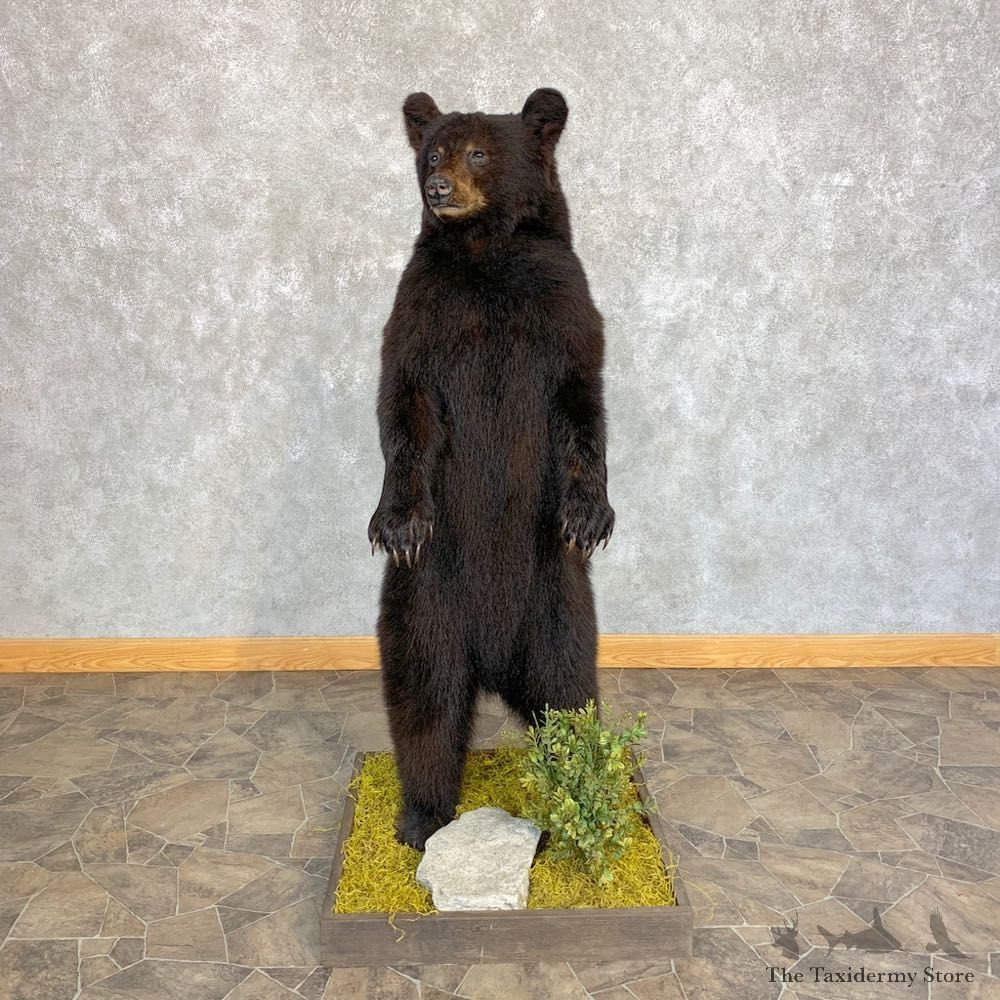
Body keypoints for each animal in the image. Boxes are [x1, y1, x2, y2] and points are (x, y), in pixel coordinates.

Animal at [367, 88, 614, 851]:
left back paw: (575, 798)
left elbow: (582, 405)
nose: (438, 188)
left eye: (479, 152)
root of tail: (492, 661)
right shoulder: (424, 310)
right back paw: (422, 816)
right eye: (433, 151)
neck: (485, 254)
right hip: (426, 604)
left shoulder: (563, 306)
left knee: (569, 697)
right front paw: (397, 522)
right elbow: (404, 404)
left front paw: (590, 514)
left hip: (557, 606)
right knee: (424, 705)